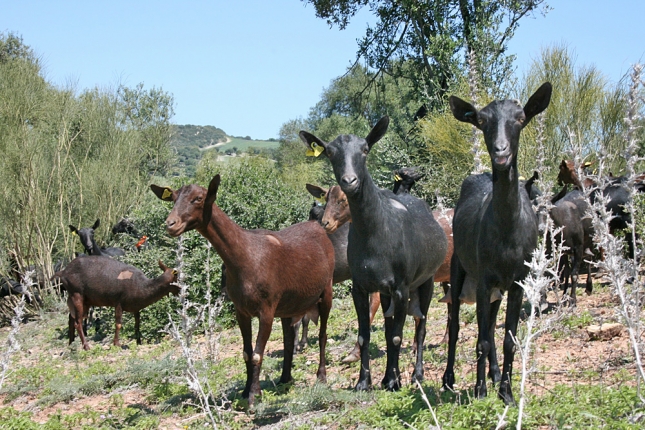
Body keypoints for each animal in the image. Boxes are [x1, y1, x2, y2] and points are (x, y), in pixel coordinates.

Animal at [150, 174, 332, 404]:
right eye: (173, 198)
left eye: (198, 198)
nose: (171, 224)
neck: (245, 256)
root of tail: (318, 228)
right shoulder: (241, 311)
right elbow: (246, 352)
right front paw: (246, 391)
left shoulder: (266, 309)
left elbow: (257, 354)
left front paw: (254, 395)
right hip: (288, 305)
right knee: (289, 339)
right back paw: (285, 378)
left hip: (326, 290)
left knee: (323, 334)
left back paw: (321, 377)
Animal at [298, 116, 446, 392]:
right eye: (330, 152)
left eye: (365, 149)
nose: (350, 181)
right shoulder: (361, 286)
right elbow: (365, 335)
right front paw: (364, 381)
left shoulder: (401, 286)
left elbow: (397, 336)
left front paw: (394, 381)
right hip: (387, 291)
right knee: (389, 325)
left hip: (426, 280)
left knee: (420, 325)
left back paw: (415, 374)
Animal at [440, 82, 552, 404]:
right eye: (482, 120)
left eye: (520, 118)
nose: (502, 152)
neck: (506, 235)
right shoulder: (484, 279)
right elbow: (481, 341)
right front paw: (479, 391)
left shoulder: (516, 282)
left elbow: (507, 340)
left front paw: (507, 393)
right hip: (461, 270)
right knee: (456, 326)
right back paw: (449, 379)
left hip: (496, 291)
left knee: (490, 325)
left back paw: (495, 374)